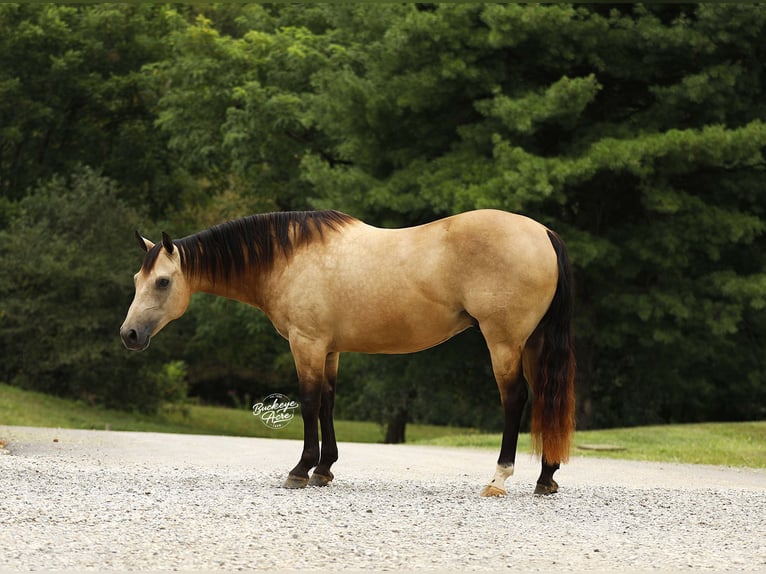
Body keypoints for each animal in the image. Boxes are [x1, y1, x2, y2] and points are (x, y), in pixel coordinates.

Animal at [120, 209, 576, 497]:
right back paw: (546, 477)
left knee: (515, 400)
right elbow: (327, 402)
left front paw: (300, 470)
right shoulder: (329, 349)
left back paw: (499, 479)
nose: (129, 334)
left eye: (162, 282)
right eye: (137, 279)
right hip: (531, 343)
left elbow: (307, 403)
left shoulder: (306, 343)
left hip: (504, 341)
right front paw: (324, 469)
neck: (288, 258)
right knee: (544, 401)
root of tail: (543, 233)